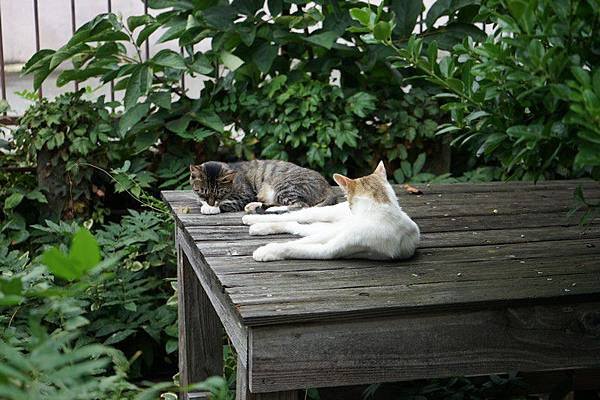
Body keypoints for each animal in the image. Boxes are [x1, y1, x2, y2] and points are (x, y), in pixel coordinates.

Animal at [189, 160, 336, 216]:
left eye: (219, 194)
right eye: (203, 192)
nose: (211, 203)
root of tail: (328, 187)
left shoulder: (245, 194)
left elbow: (228, 202)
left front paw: (211, 208)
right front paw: (205, 204)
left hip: (285, 187)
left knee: (301, 206)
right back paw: (255, 206)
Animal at [241, 162, 420, 262]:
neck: (380, 211)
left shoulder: (328, 250)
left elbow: (292, 247)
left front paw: (266, 251)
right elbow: (294, 243)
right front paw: (267, 249)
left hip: (329, 228)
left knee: (296, 225)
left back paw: (258, 227)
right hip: (322, 217)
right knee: (295, 216)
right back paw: (253, 221)